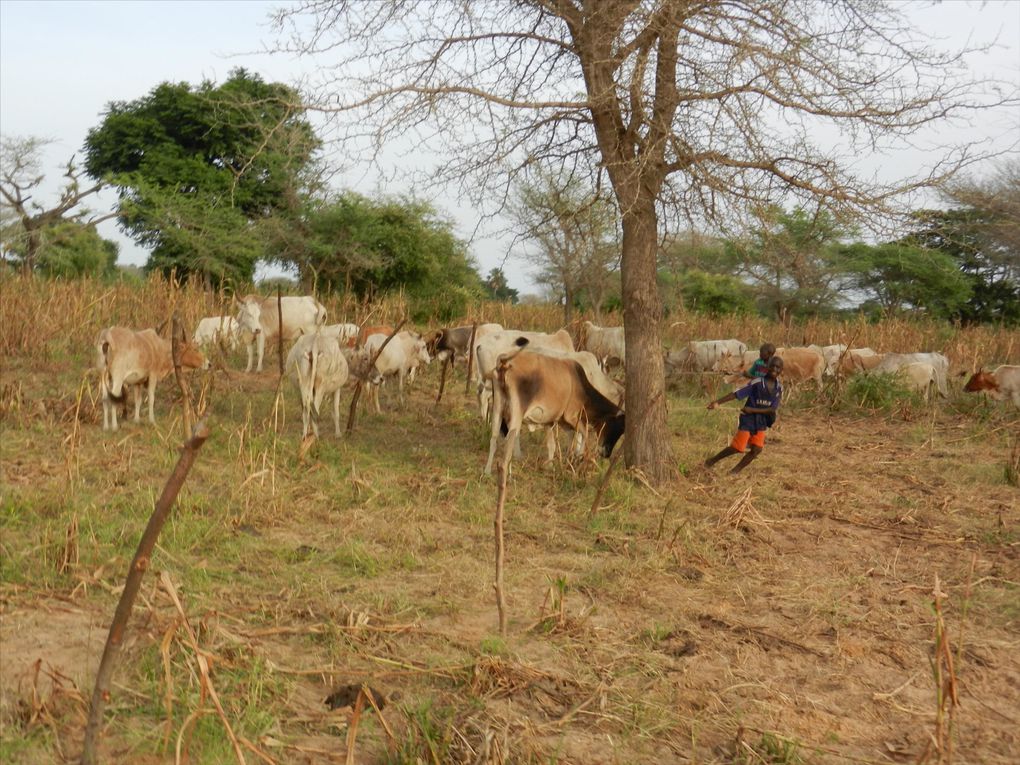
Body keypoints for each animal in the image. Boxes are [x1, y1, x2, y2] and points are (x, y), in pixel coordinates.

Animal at [483, 340, 624, 477]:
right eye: (615, 427)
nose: (606, 453)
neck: (582, 388)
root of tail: (505, 363)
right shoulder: (572, 416)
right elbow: (584, 434)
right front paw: (577, 457)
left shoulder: (553, 422)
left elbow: (554, 444)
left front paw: (554, 465)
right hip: (516, 413)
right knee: (509, 442)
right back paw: (508, 474)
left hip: (497, 409)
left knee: (493, 439)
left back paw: (487, 471)